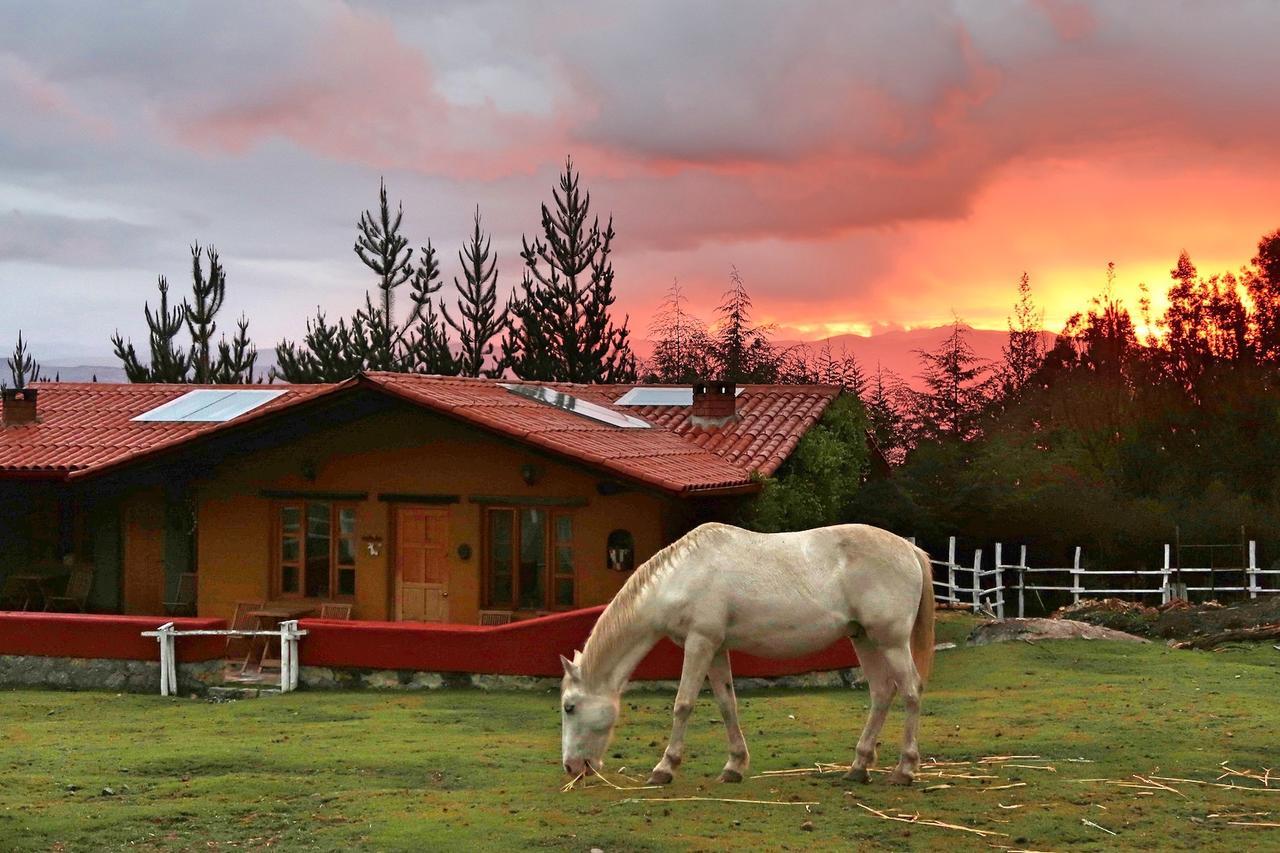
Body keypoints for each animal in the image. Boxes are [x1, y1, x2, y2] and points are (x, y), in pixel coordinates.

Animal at [555, 522, 936, 788]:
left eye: (569, 707)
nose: (571, 768)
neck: (682, 575)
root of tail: (909, 549)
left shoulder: (699, 643)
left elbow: (683, 704)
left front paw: (664, 768)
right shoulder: (716, 648)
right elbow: (727, 704)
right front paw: (734, 766)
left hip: (891, 641)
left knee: (910, 691)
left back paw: (904, 769)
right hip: (864, 639)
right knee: (882, 693)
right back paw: (858, 767)